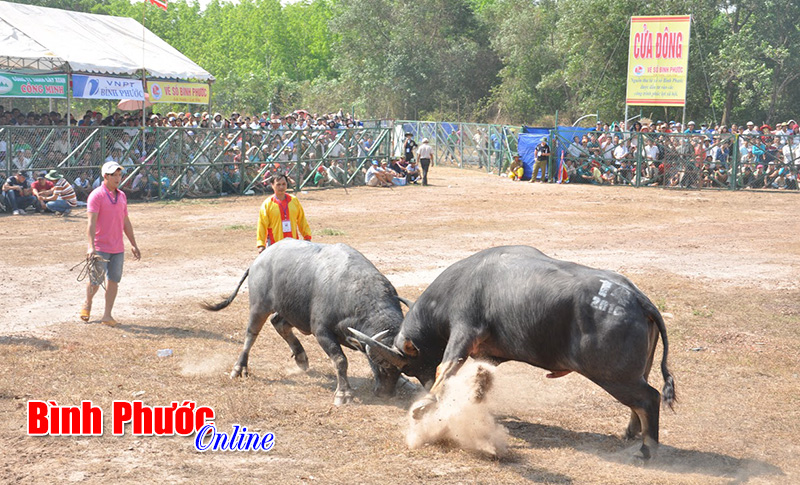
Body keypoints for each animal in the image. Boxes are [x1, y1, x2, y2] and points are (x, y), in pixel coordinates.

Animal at [203, 238, 404, 404]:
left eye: (400, 370)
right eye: (382, 366)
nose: (386, 393)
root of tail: (259, 259)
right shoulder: (321, 331)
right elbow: (340, 360)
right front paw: (344, 393)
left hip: (290, 309)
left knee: (279, 323)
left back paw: (300, 356)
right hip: (259, 306)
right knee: (251, 334)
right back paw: (239, 367)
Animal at [350, 246, 676, 458]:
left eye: (409, 367)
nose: (424, 385)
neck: (461, 283)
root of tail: (636, 298)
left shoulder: (464, 333)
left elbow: (447, 367)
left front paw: (425, 406)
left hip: (613, 375)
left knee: (649, 398)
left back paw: (647, 449)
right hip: (633, 373)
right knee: (639, 402)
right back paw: (631, 434)